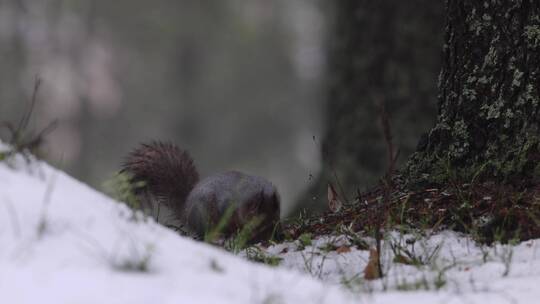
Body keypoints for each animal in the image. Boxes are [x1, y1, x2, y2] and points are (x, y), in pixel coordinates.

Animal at [121, 141, 280, 243]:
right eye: (254, 213)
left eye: (275, 215)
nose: (265, 238)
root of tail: (186, 211)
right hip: (205, 216)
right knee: (206, 233)